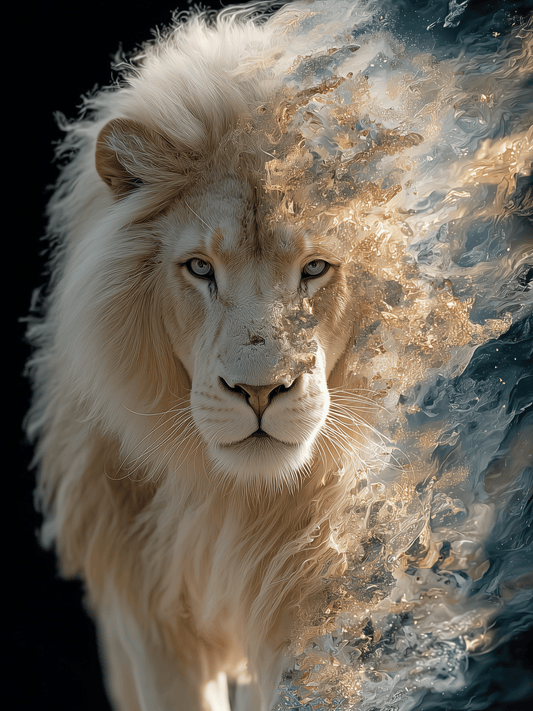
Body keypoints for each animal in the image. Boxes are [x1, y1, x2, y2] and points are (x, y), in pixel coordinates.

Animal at [26, 4, 375, 710]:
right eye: (199, 268)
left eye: (315, 267)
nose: (260, 392)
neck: (237, 495)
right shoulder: (146, 610)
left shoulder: (305, 595)